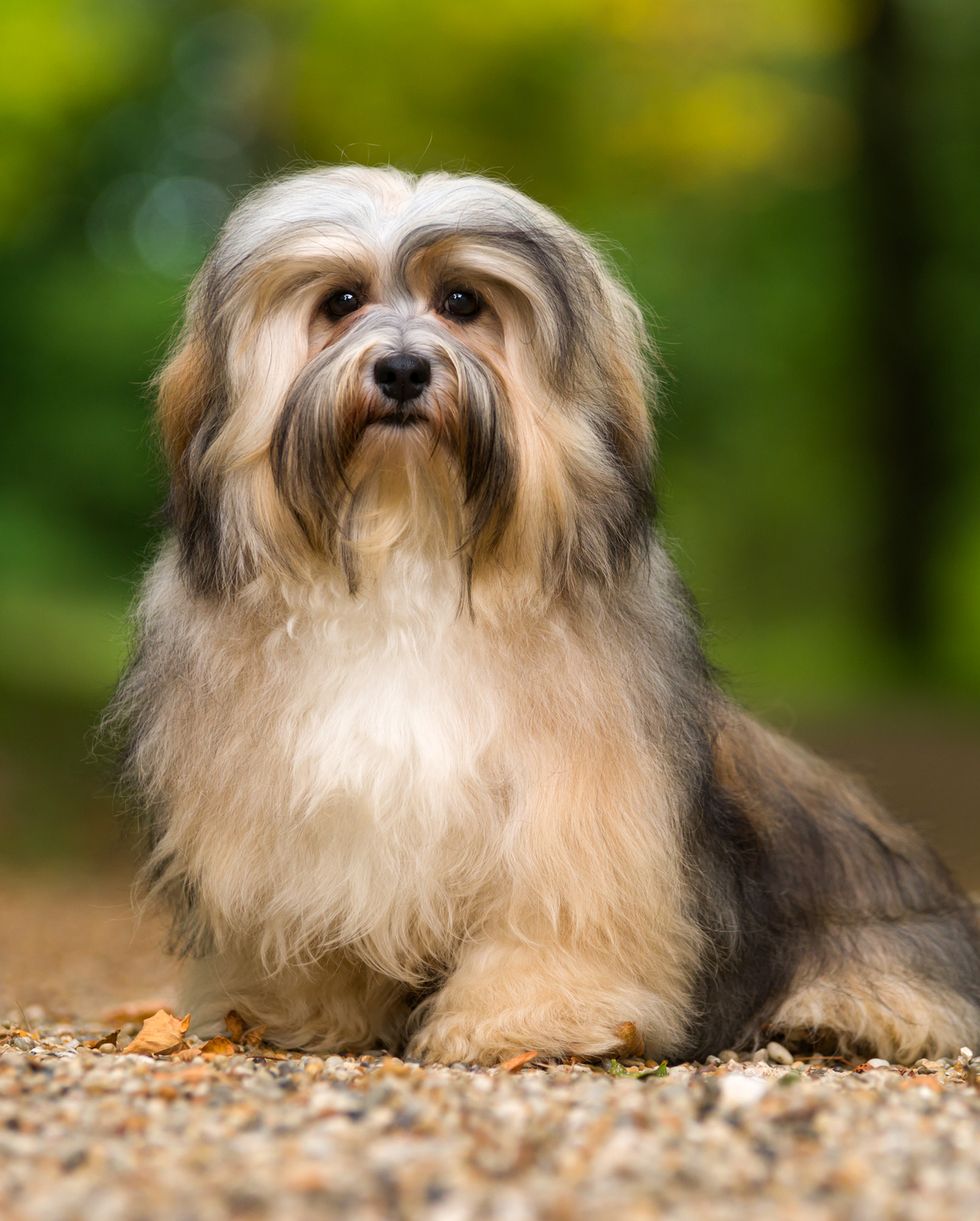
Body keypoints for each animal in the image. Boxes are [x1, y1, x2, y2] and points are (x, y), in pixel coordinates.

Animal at [107, 167, 980, 1064]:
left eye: (462, 301)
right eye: (341, 300)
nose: (403, 370)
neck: (407, 543)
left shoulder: (579, 807)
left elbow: (552, 916)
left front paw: (525, 1019)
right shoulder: (289, 813)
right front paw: (293, 1011)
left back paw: (838, 1013)